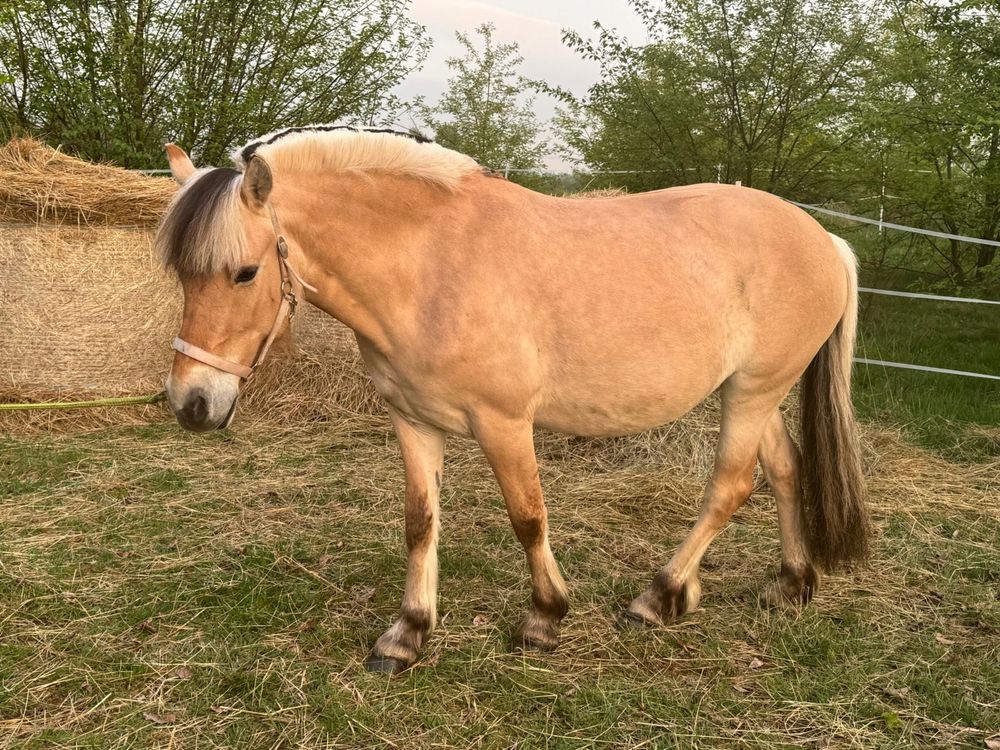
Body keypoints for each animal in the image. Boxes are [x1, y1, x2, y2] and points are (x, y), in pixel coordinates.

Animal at [158, 125, 868, 676]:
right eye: (182, 274)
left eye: (244, 273)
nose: (192, 403)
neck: (430, 268)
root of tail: (825, 239)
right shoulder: (412, 421)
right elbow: (420, 522)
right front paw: (408, 633)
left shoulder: (504, 424)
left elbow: (528, 517)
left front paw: (543, 619)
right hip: (751, 392)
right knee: (784, 469)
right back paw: (788, 584)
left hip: (753, 391)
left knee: (730, 486)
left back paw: (659, 596)